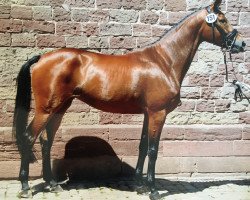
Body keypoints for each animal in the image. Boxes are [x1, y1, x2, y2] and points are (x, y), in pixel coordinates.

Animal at [12, 0, 245, 199]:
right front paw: (153, 190)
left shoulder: (148, 113)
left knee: (46, 141)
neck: (164, 61)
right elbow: (153, 150)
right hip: (46, 109)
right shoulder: (158, 113)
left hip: (59, 108)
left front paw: (140, 185)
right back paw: (25, 186)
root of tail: (41, 57)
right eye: (221, 20)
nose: (241, 44)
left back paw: (51, 184)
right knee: (29, 137)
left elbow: (142, 146)